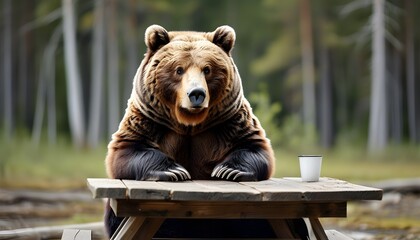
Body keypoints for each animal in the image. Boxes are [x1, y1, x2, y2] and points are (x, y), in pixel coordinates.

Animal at [104, 24, 306, 238]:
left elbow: (254, 147)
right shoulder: (150, 120)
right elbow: (127, 151)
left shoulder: (229, 122)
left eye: (207, 69)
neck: (190, 122)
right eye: (179, 69)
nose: (196, 94)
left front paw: (228, 170)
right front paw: (174, 170)